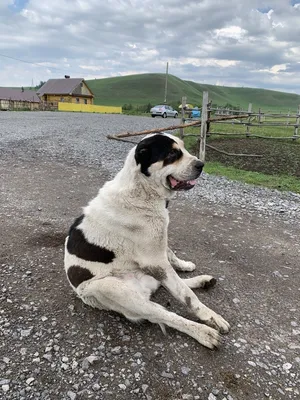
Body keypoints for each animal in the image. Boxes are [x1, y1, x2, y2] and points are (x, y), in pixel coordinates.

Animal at [65, 133, 230, 348]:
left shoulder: (158, 247)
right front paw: (210, 317)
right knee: (165, 313)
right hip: (118, 292)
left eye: (183, 148)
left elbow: (171, 257)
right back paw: (203, 332)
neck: (142, 189)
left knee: (168, 285)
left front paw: (184, 265)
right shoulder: (155, 261)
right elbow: (187, 296)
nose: (201, 164)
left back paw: (202, 281)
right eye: (172, 154)